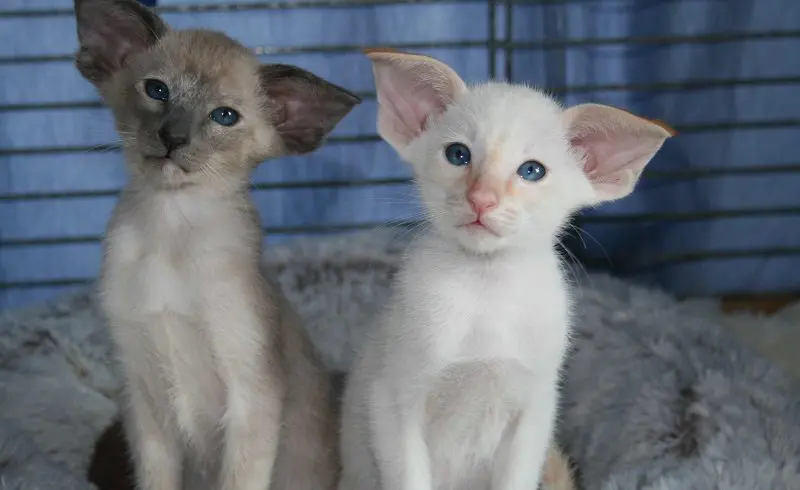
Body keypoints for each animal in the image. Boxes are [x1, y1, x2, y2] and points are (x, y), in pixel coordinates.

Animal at [73, 0, 360, 490]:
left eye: (224, 116)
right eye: (157, 90)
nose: (172, 138)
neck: (171, 227)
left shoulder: (250, 399)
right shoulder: (143, 400)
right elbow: (155, 480)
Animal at [338, 47, 676, 490]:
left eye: (532, 171)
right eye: (458, 155)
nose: (481, 199)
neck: (487, 287)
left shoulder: (534, 413)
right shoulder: (393, 404)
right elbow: (410, 476)